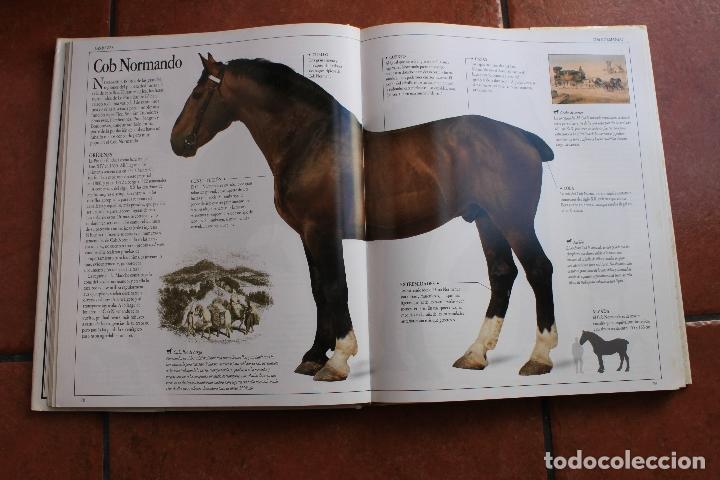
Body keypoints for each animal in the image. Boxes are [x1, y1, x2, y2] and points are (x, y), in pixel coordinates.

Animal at [171, 54, 558, 381]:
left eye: (198, 93)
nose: (177, 141)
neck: (311, 143)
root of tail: (524, 136)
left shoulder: (322, 232)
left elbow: (334, 287)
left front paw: (338, 358)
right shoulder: (307, 235)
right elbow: (318, 291)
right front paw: (314, 355)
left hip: (513, 219)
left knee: (539, 270)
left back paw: (539, 357)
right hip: (486, 219)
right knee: (502, 274)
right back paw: (475, 353)